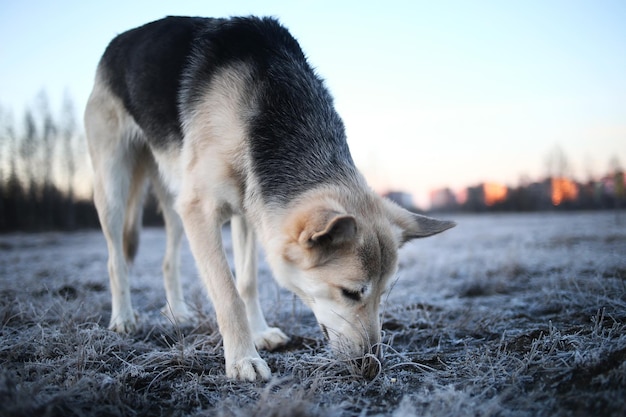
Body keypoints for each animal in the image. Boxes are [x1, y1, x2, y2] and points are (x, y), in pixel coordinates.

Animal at [84, 16, 454, 380]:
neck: (271, 106)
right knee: (116, 259)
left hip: (174, 203)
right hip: (115, 188)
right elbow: (228, 293)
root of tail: (117, 42)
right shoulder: (200, 210)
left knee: (168, 261)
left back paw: (177, 311)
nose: (372, 367)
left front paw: (259, 333)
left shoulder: (248, 211)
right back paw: (124, 318)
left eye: (383, 293)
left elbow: (247, 283)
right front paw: (242, 359)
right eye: (350, 292)